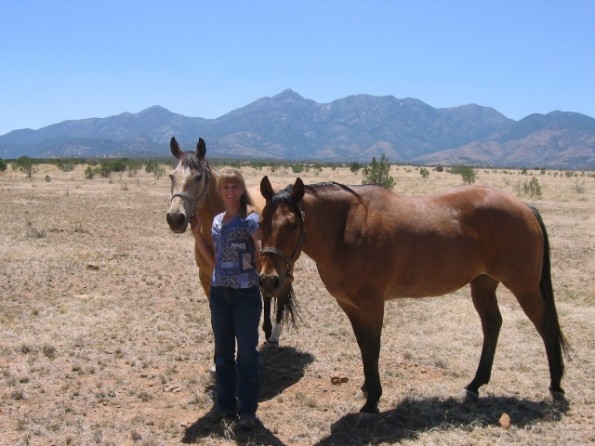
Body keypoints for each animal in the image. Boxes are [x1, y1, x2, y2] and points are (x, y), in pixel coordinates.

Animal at [165, 138, 296, 344]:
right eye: (172, 176)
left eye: (198, 177)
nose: (175, 218)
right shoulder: (206, 279)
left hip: (285, 267)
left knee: (281, 291)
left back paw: (274, 332)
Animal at [258, 176, 572, 412]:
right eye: (260, 223)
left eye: (293, 225)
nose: (268, 281)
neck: (347, 229)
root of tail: (525, 206)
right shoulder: (350, 306)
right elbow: (363, 347)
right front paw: (366, 388)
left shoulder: (372, 306)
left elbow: (372, 348)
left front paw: (373, 400)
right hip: (483, 284)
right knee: (492, 325)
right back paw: (475, 385)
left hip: (524, 287)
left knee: (545, 326)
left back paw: (556, 387)